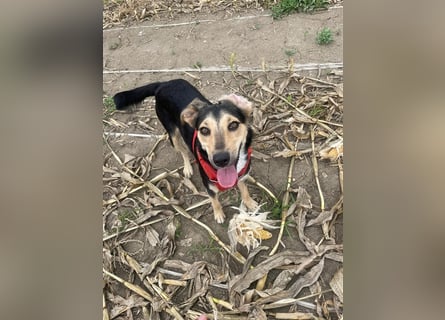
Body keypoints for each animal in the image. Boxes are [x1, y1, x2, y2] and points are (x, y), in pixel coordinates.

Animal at [112, 78, 256, 222]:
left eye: (233, 125)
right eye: (204, 130)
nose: (220, 160)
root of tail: (163, 84)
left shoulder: (242, 176)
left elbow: (244, 189)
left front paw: (249, 202)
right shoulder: (209, 187)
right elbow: (214, 201)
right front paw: (218, 214)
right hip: (173, 136)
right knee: (183, 151)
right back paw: (187, 168)